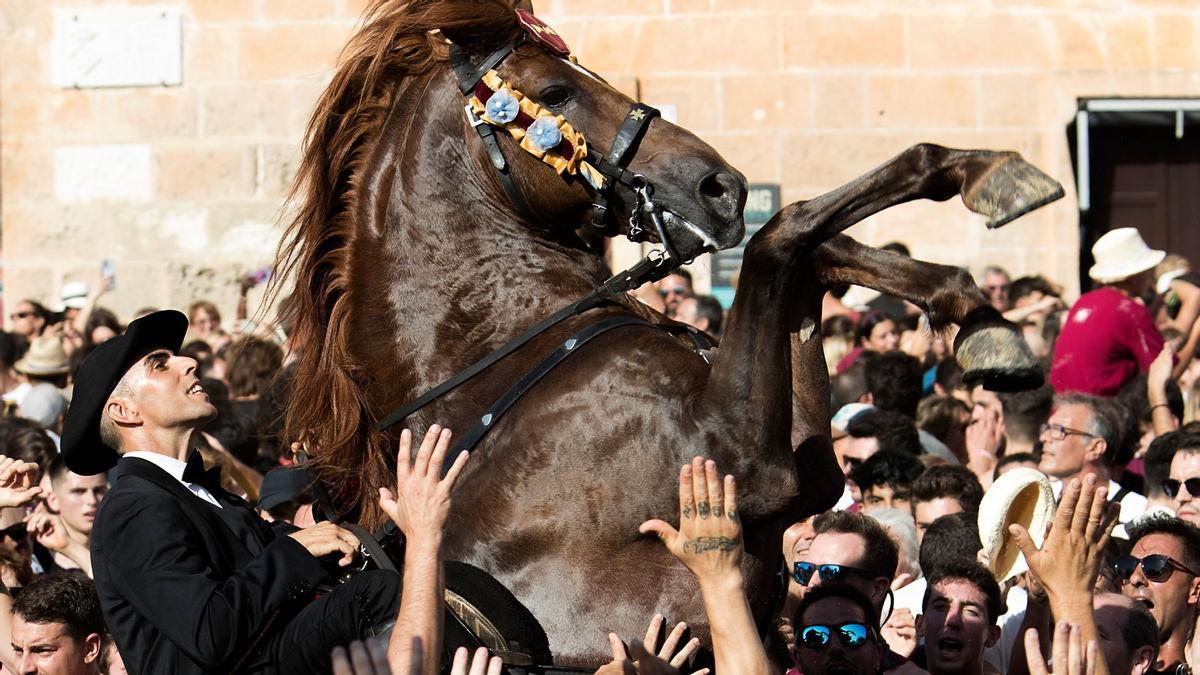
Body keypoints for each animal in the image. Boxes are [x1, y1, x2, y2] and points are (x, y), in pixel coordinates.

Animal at [273, 0, 1062, 666]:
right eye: (555, 91)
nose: (722, 187)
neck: (496, 363)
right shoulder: (746, 461)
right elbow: (787, 232)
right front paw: (978, 185)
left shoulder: (797, 468)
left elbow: (814, 254)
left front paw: (980, 306)